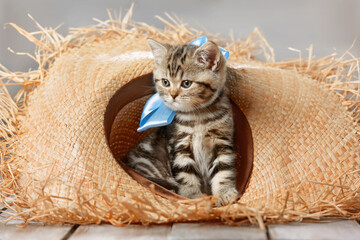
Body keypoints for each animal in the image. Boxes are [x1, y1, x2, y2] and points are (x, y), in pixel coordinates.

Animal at [126, 38, 239, 205]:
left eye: (186, 83)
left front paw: (225, 193)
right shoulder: (179, 144)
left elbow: (223, 168)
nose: (173, 95)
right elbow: (185, 173)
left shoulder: (221, 140)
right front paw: (192, 196)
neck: (198, 116)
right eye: (165, 82)